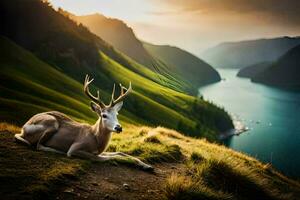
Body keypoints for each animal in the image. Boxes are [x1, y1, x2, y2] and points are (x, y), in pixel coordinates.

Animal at [14, 74, 154, 170]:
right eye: (104, 115)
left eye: (117, 114)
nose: (119, 128)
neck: (95, 138)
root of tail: (23, 128)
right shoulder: (76, 147)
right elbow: (106, 157)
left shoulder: (99, 150)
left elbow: (120, 152)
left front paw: (146, 165)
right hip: (52, 122)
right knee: (38, 146)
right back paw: (58, 150)